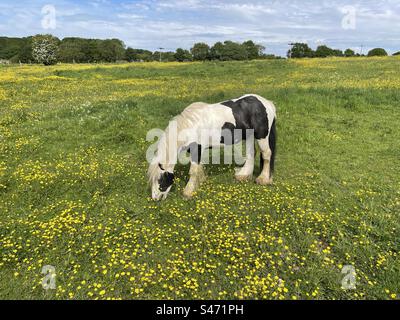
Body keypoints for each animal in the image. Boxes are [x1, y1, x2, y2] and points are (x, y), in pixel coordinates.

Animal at [148, 94, 276, 201]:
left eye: (160, 179)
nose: (155, 198)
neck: (191, 125)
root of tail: (267, 103)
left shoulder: (197, 149)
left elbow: (193, 171)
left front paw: (188, 192)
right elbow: (199, 168)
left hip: (261, 136)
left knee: (266, 154)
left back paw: (263, 179)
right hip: (249, 135)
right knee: (251, 153)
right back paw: (243, 175)